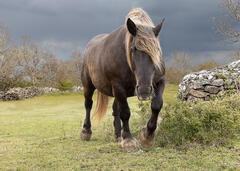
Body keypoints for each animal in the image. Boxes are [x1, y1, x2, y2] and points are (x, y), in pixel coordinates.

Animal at [80, 8, 165, 150]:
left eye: (157, 50)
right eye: (133, 49)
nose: (144, 90)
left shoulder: (160, 81)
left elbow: (156, 105)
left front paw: (147, 136)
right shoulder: (118, 86)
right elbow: (125, 112)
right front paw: (129, 139)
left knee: (115, 110)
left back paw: (118, 134)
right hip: (88, 86)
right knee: (88, 104)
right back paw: (86, 131)